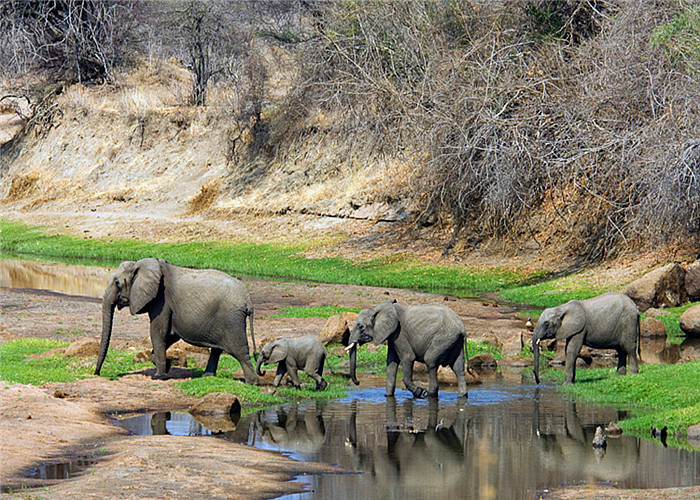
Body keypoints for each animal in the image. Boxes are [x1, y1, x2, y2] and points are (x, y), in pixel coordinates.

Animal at [94, 258, 256, 382]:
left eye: (117, 283)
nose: (97, 373)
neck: (142, 266)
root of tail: (248, 301)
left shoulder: (162, 301)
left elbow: (158, 332)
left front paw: (159, 376)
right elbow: (170, 336)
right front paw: (166, 365)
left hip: (231, 320)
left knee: (240, 352)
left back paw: (251, 382)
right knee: (218, 349)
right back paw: (207, 376)